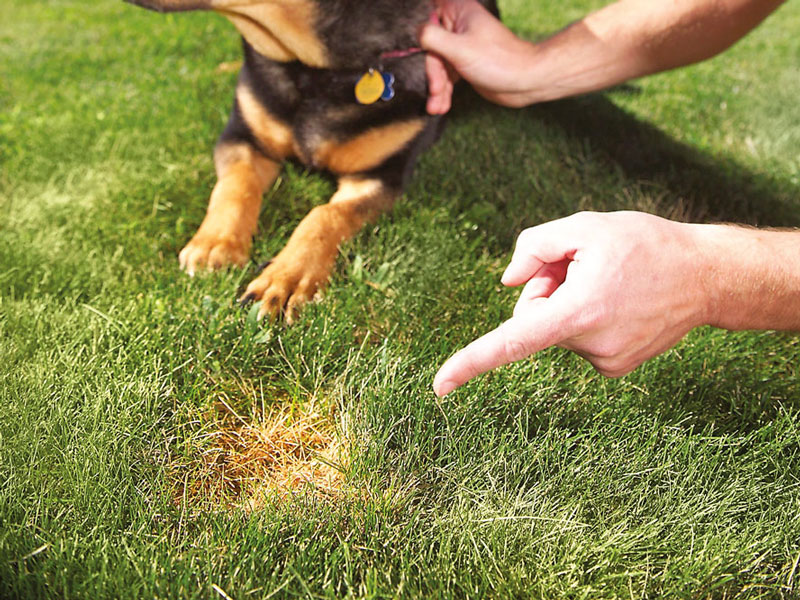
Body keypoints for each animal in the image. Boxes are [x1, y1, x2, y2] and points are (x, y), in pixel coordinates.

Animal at [126, 0, 494, 322]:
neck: (313, 69)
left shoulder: (380, 176)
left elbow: (326, 215)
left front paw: (286, 279)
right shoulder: (240, 137)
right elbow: (236, 184)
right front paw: (216, 243)